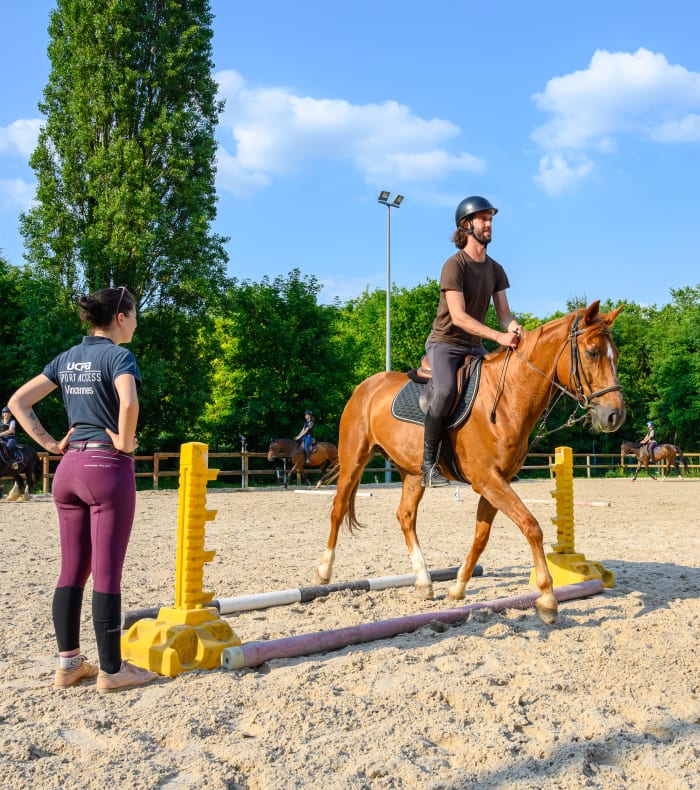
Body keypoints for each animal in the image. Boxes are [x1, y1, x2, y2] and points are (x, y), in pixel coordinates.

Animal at [314, 301, 626, 625]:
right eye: (592, 353)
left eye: (615, 354)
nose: (615, 416)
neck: (509, 396)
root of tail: (366, 386)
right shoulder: (488, 480)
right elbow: (531, 526)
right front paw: (548, 598)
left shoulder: (496, 481)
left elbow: (481, 535)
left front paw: (458, 588)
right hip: (354, 459)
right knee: (338, 509)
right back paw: (324, 571)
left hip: (412, 472)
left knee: (406, 516)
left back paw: (424, 581)